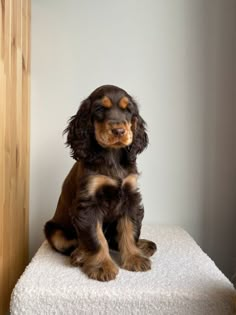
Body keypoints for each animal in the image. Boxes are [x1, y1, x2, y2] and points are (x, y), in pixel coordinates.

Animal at [45, 84, 158, 282]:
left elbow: (129, 229)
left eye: (128, 110)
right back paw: (80, 255)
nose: (119, 131)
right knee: (73, 244)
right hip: (55, 231)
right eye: (99, 109)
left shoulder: (130, 196)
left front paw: (134, 258)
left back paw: (143, 245)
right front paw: (102, 266)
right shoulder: (88, 204)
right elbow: (96, 238)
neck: (111, 155)